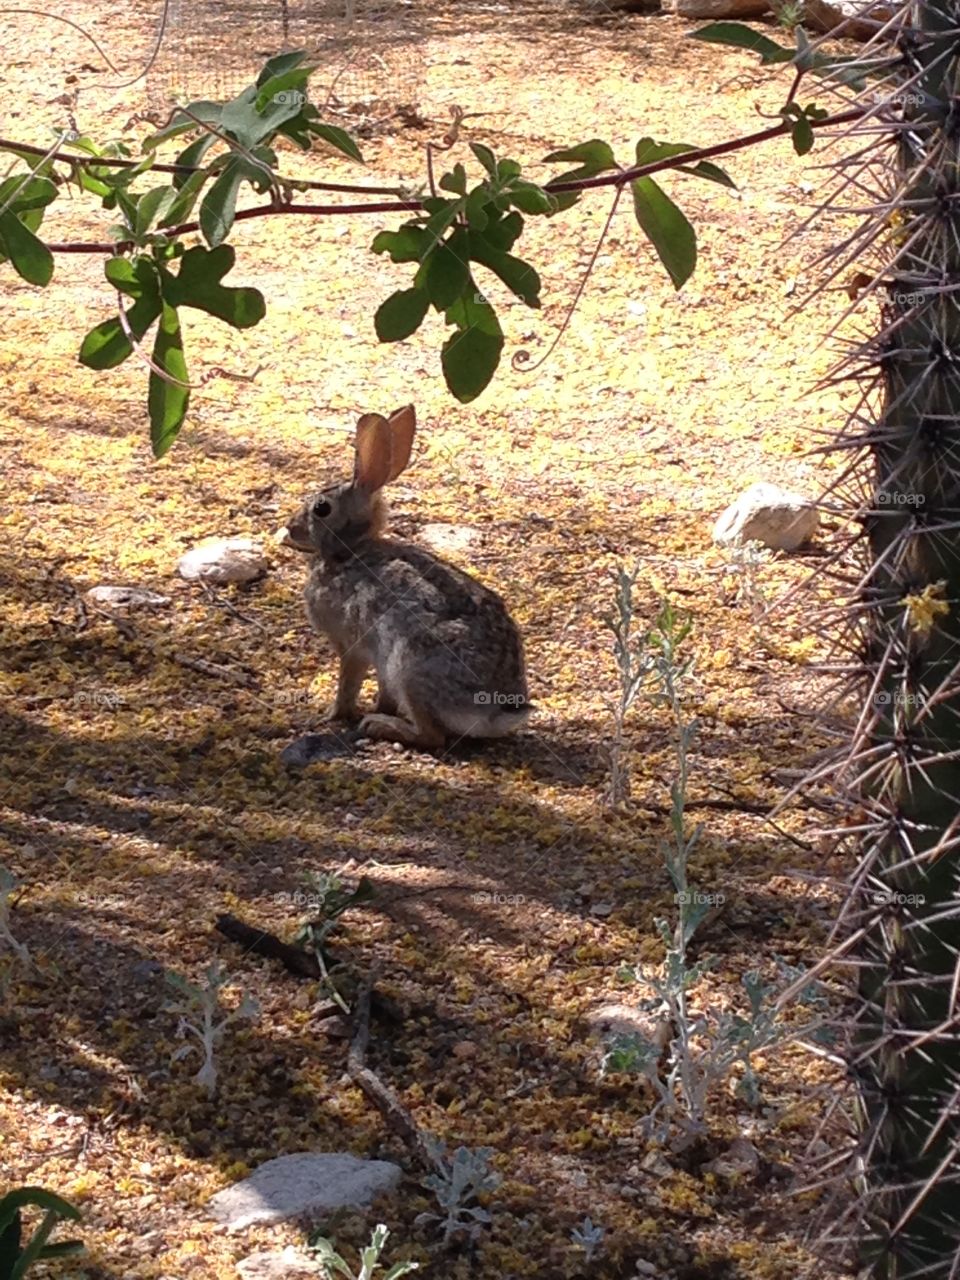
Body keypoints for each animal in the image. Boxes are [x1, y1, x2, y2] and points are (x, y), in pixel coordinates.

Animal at [278, 405, 530, 749]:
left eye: (321, 508)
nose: (291, 527)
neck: (350, 550)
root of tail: (495, 712)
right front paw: (377, 707)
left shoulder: (351, 645)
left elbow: (348, 684)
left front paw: (332, 716)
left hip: (408, 668)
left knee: (433, 736)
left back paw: (381, 726)